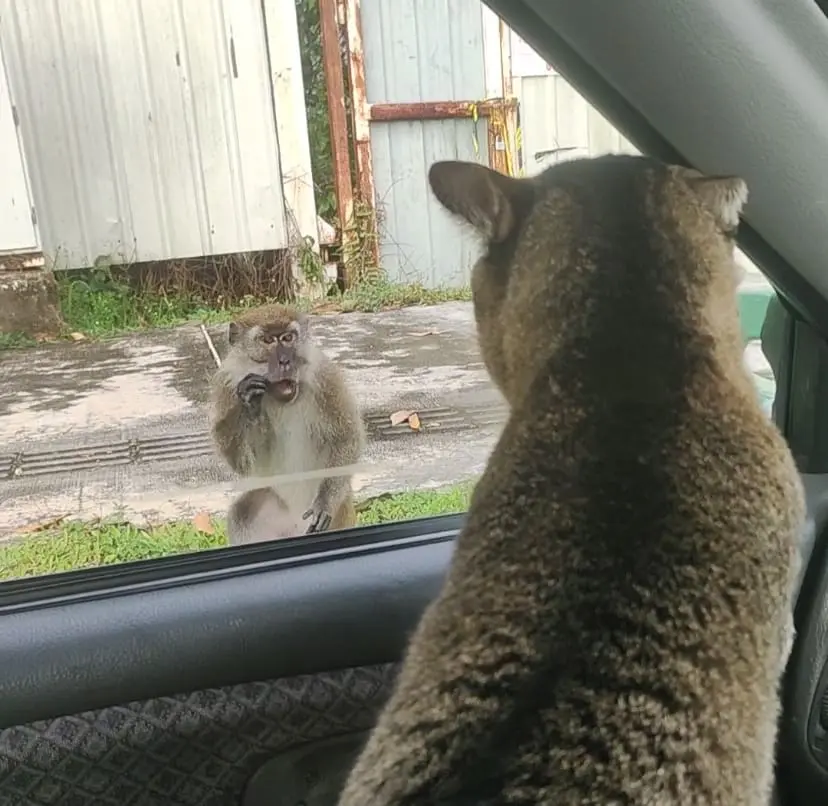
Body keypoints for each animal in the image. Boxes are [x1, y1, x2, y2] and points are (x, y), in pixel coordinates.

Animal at [209, 303, 365, 544]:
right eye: (267, 341)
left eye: (288, 337)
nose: (284, 361)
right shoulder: (226, 387)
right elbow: (244, 464)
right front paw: (250, 403)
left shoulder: (324, 376)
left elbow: (346, 436)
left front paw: (324, 502)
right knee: (242, 512)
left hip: (341, 512)